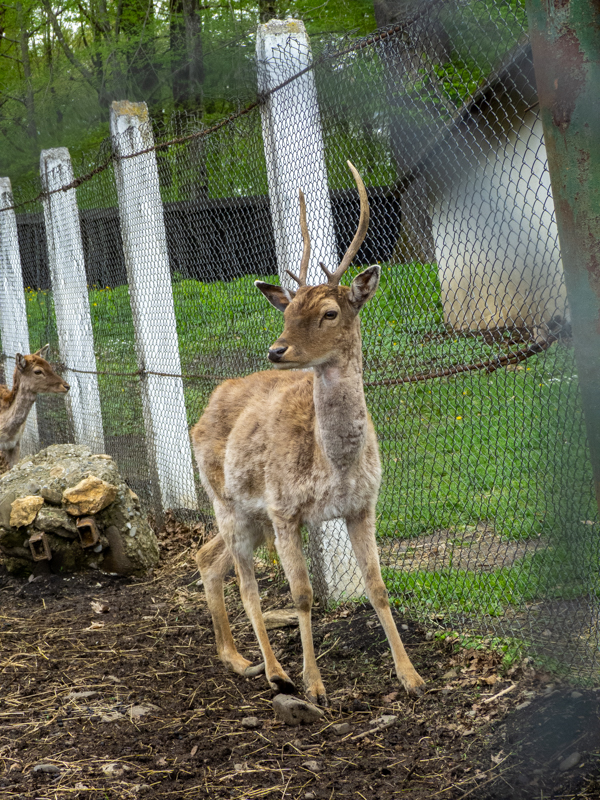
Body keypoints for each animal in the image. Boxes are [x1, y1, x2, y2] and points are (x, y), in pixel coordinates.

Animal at [191, 162, 424, 706]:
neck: (332, 464)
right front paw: (316, 686)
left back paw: (236, 658)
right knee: (246, 580)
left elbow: (378, 586)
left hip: (248, 517)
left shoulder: (364, 504)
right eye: (286, 310)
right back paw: (275, 672)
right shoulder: (285, 509)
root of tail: (205, 407)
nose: (277, 350)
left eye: (330, 312)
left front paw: (411, 676)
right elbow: (301, 594)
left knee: (207, 558)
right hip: (228, 501)